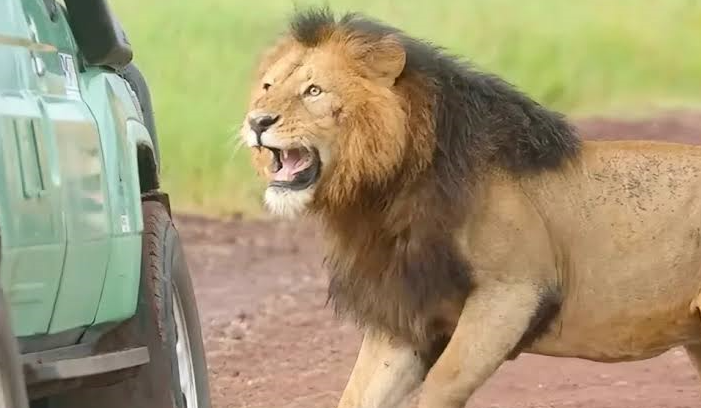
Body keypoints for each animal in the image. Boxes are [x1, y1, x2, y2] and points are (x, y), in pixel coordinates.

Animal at [239, 7, 701, 408]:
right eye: (268, 87)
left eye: (313, 91)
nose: (257, 122)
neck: (381, 197)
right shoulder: (404, 313)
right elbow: (358, 395)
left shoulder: (514, 291)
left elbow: (443, 384)